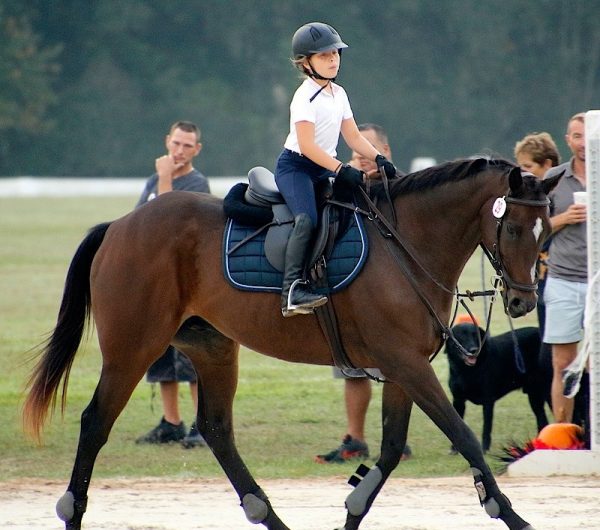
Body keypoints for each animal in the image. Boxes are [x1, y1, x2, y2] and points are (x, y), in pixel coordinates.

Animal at [442, 322, 552, 450]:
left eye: (476, 335)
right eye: (461, 336)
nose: (474, 350)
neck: (467, 370)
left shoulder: (488, 401)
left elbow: (486, 427)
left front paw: (484, 449)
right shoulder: (458, 400)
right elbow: (456, 425)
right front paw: (454, 450)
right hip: (534, 395)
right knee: (542, 420)